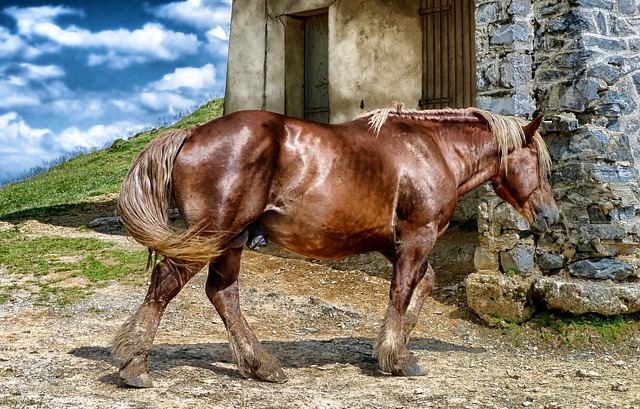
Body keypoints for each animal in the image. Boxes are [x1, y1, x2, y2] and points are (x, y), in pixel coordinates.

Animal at [112, 104, 556, 386]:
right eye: (539, 163)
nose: (550, 216)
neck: (431, 150)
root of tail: (192, 134)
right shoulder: (418, 235)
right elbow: (402, 291)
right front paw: (397, 356)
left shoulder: (392, 242)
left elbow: (423, 284)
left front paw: (394, 344)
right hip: (210, 235)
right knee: (165, 284)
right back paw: (135, 364)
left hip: (230, 242)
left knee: (223, 294)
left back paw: (261, 364)